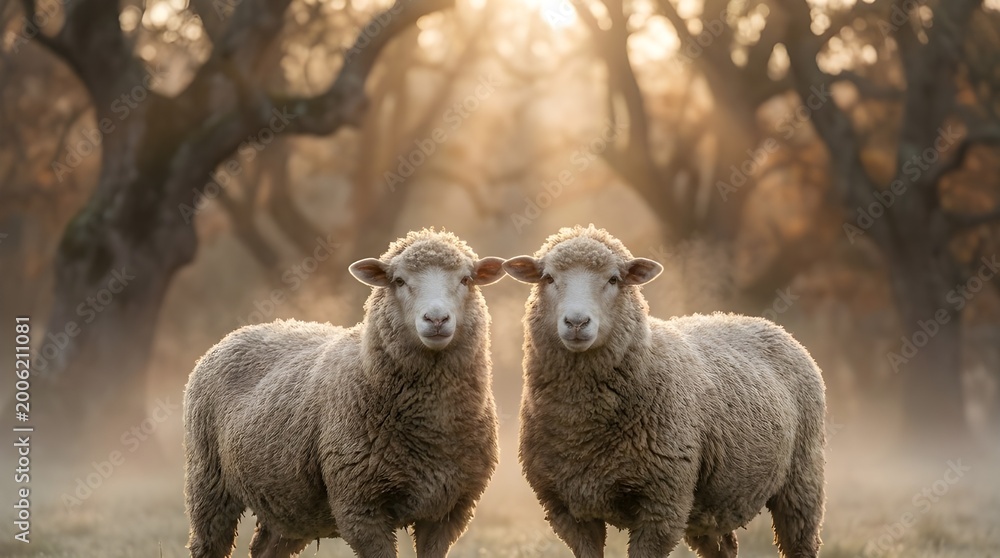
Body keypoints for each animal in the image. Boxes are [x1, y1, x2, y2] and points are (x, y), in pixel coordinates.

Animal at [183, 229, 506, 558]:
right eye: (398, 281)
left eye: (466, 279)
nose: (437, 320)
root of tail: (237, 333)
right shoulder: (359, 506)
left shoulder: (450, 510)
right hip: (209, 480)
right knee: (208, 543)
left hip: (288, 504)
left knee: (265, 548)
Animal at [503, 225, 826, 558]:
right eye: (548, 278)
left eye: (614, 279)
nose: (577, 322)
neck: (581, 431)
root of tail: (766, 324)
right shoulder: (566, 509)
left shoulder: (662, 506)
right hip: (708, 506)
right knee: (724, 547)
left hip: (802, 478)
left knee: (801, 540)